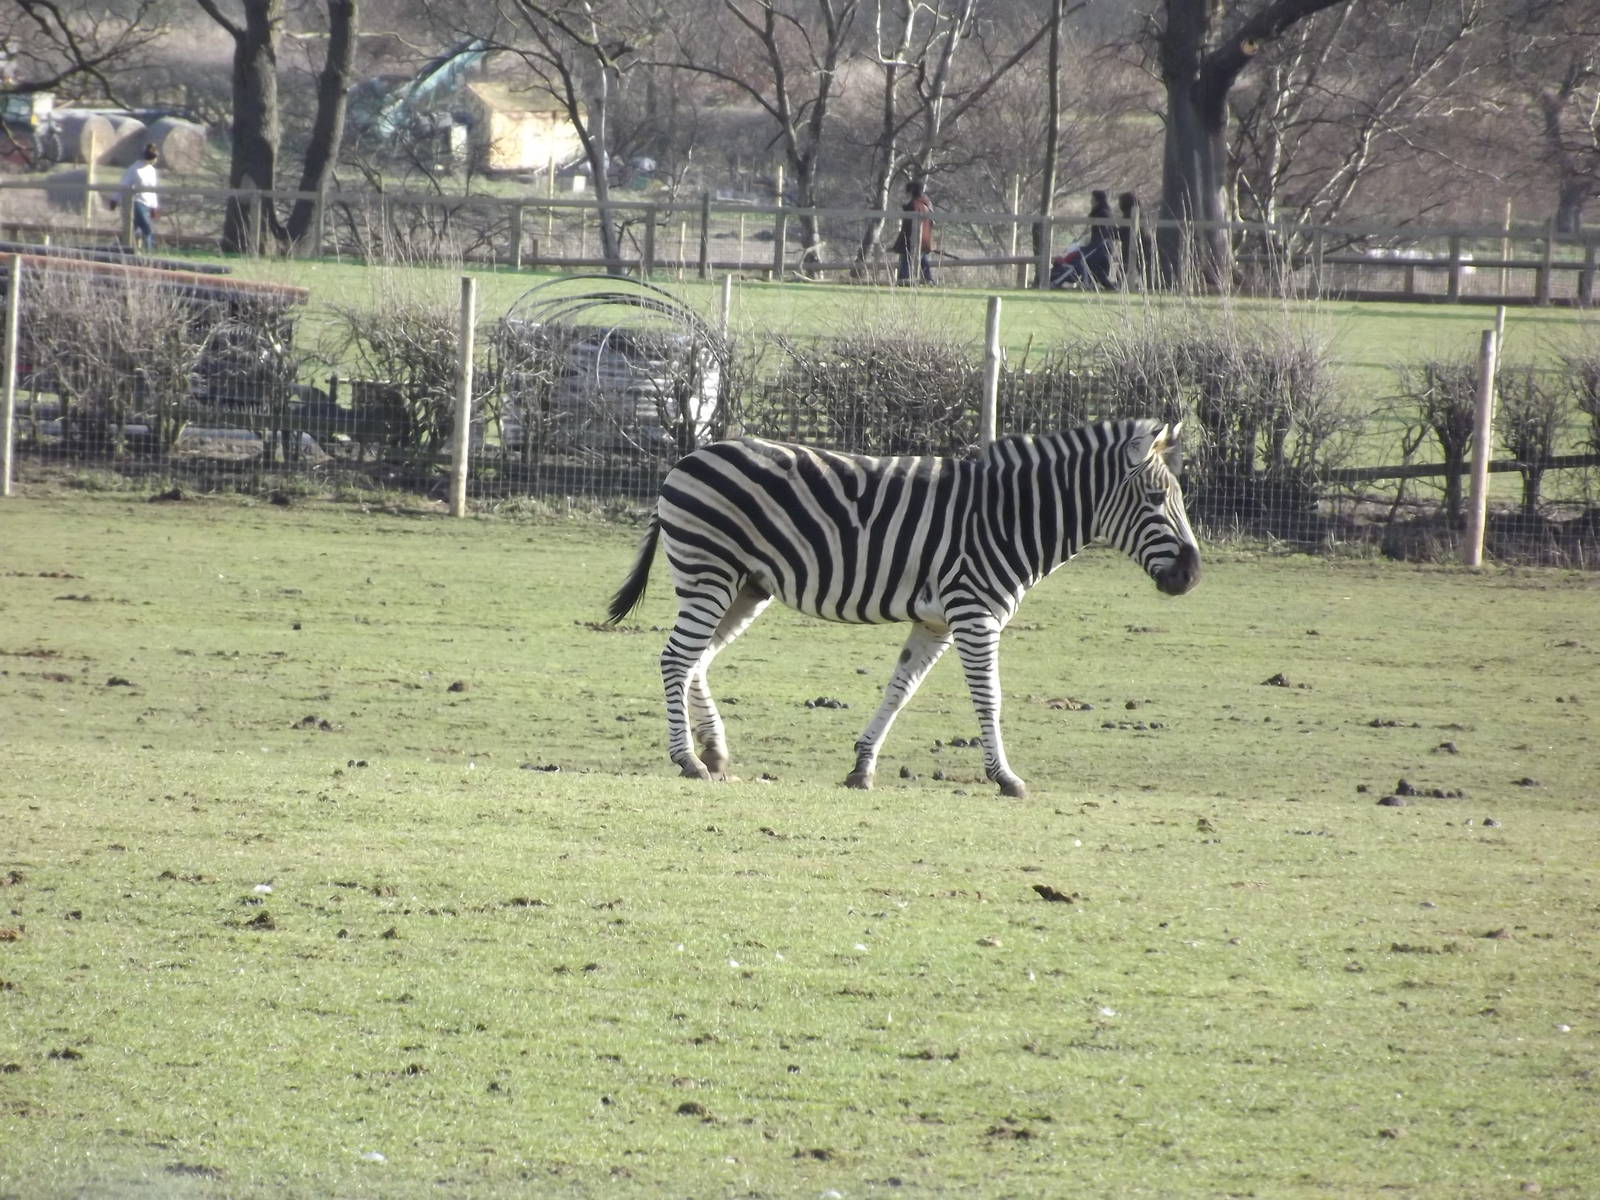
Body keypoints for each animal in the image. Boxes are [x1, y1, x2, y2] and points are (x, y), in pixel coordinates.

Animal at [606, 418, 1201, 798]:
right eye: (1155, 500)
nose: (1192, 576)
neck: (1009, 516)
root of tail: (688, 458)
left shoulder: (936, 621)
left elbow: (899, 691)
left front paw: (862, 767)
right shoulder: (974, 613)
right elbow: (990, 700)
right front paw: (1006, 778)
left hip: (746, 586)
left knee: (697, 661)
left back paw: (714, 753)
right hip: (709, 571)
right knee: (676, 659)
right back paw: (688, 761)